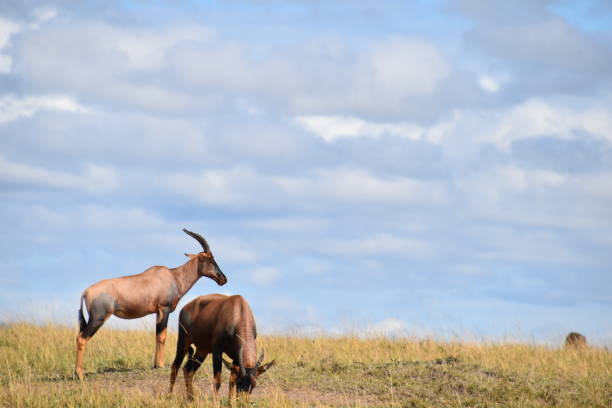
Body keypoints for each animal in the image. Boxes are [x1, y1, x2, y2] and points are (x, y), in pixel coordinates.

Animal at [74, 230, 227, 380]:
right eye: (209, 259)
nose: (223, 278)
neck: (173, 276)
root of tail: (86, 291)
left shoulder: (157, 312)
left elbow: (157, 335)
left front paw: (155, 364)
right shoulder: (164, 309)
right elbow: (162, 335)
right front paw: (160, 364)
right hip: (98, 318)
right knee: (81, 339)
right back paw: (79, 374)